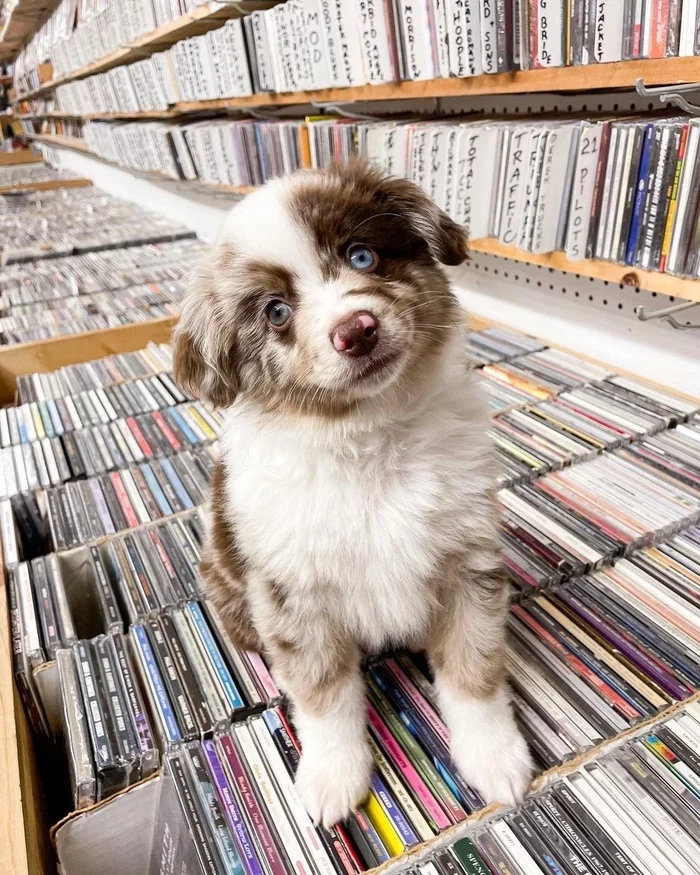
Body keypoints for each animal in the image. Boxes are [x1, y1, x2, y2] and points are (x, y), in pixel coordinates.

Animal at [174, 159, 532, 828]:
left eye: (361, 255)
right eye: (276, 312)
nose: (355, 330)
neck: (372, 438)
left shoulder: (468, 562)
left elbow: (474, 669)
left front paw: (495, 757)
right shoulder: (294, 596)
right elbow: (325, 695)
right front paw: (332, 777)